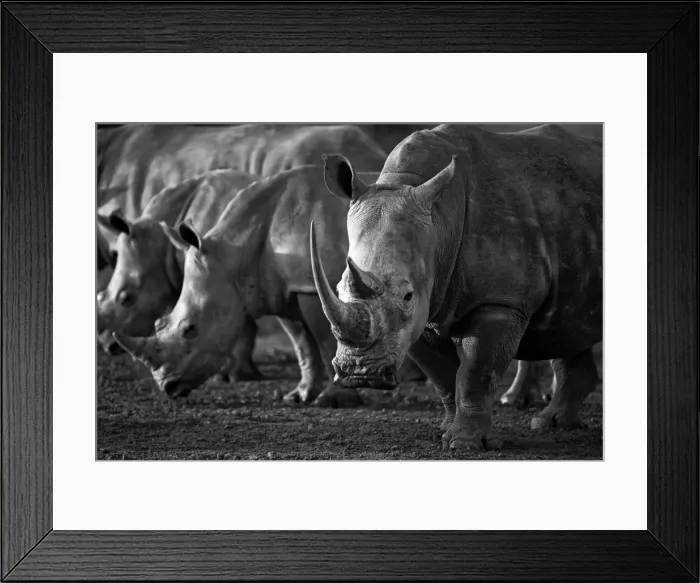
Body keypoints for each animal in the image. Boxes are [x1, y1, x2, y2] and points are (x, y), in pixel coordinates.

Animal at [113, 165, 422, 406]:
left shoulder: (312, 287)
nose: (168, 387)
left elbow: (324, 341)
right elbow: (302, 344)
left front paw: (334, 400)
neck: (236, 254)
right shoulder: (283, 289)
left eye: (190, 329)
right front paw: (300, 396)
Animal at [311, 124, 602, 450]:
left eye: (407, 295)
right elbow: (443, 376)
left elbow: (476, 370)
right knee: (571, 321)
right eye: (338, 290)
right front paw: (446, 431)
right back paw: (553, 424)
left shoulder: (499, 300)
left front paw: (466, 444)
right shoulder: (426, 308)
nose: (360, 372)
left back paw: (547, 423)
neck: (439, 222)